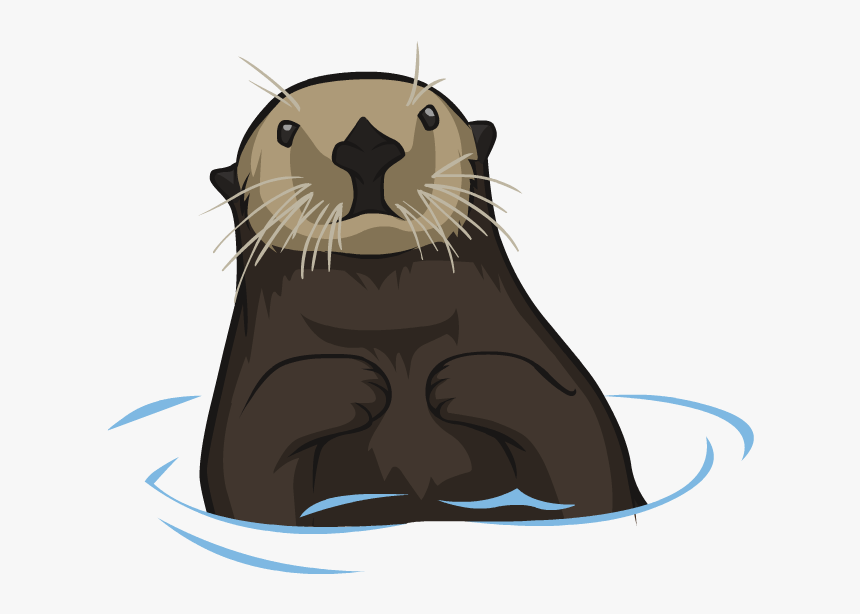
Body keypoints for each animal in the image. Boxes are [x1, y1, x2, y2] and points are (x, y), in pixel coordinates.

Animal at [201, 58, 645, 526]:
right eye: (285, 129)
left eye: (429, 115)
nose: (367, 146)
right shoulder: (243, 403)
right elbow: (250, 470)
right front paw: (342, 384)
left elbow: (586, 461)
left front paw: (469, 379)